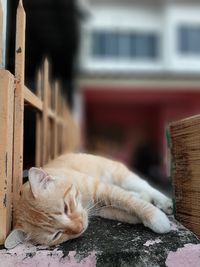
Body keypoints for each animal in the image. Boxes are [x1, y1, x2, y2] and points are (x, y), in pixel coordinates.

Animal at [5, 154, 173, 250]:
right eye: (56, 235)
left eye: (66, 208)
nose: (79, 227)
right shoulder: (103, 209)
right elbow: (122, 211)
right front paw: (137, 217)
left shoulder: (103, 189)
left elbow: (129, 201)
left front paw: (157, 219)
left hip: (123, 177)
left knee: (146, 186)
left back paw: (165, 203)